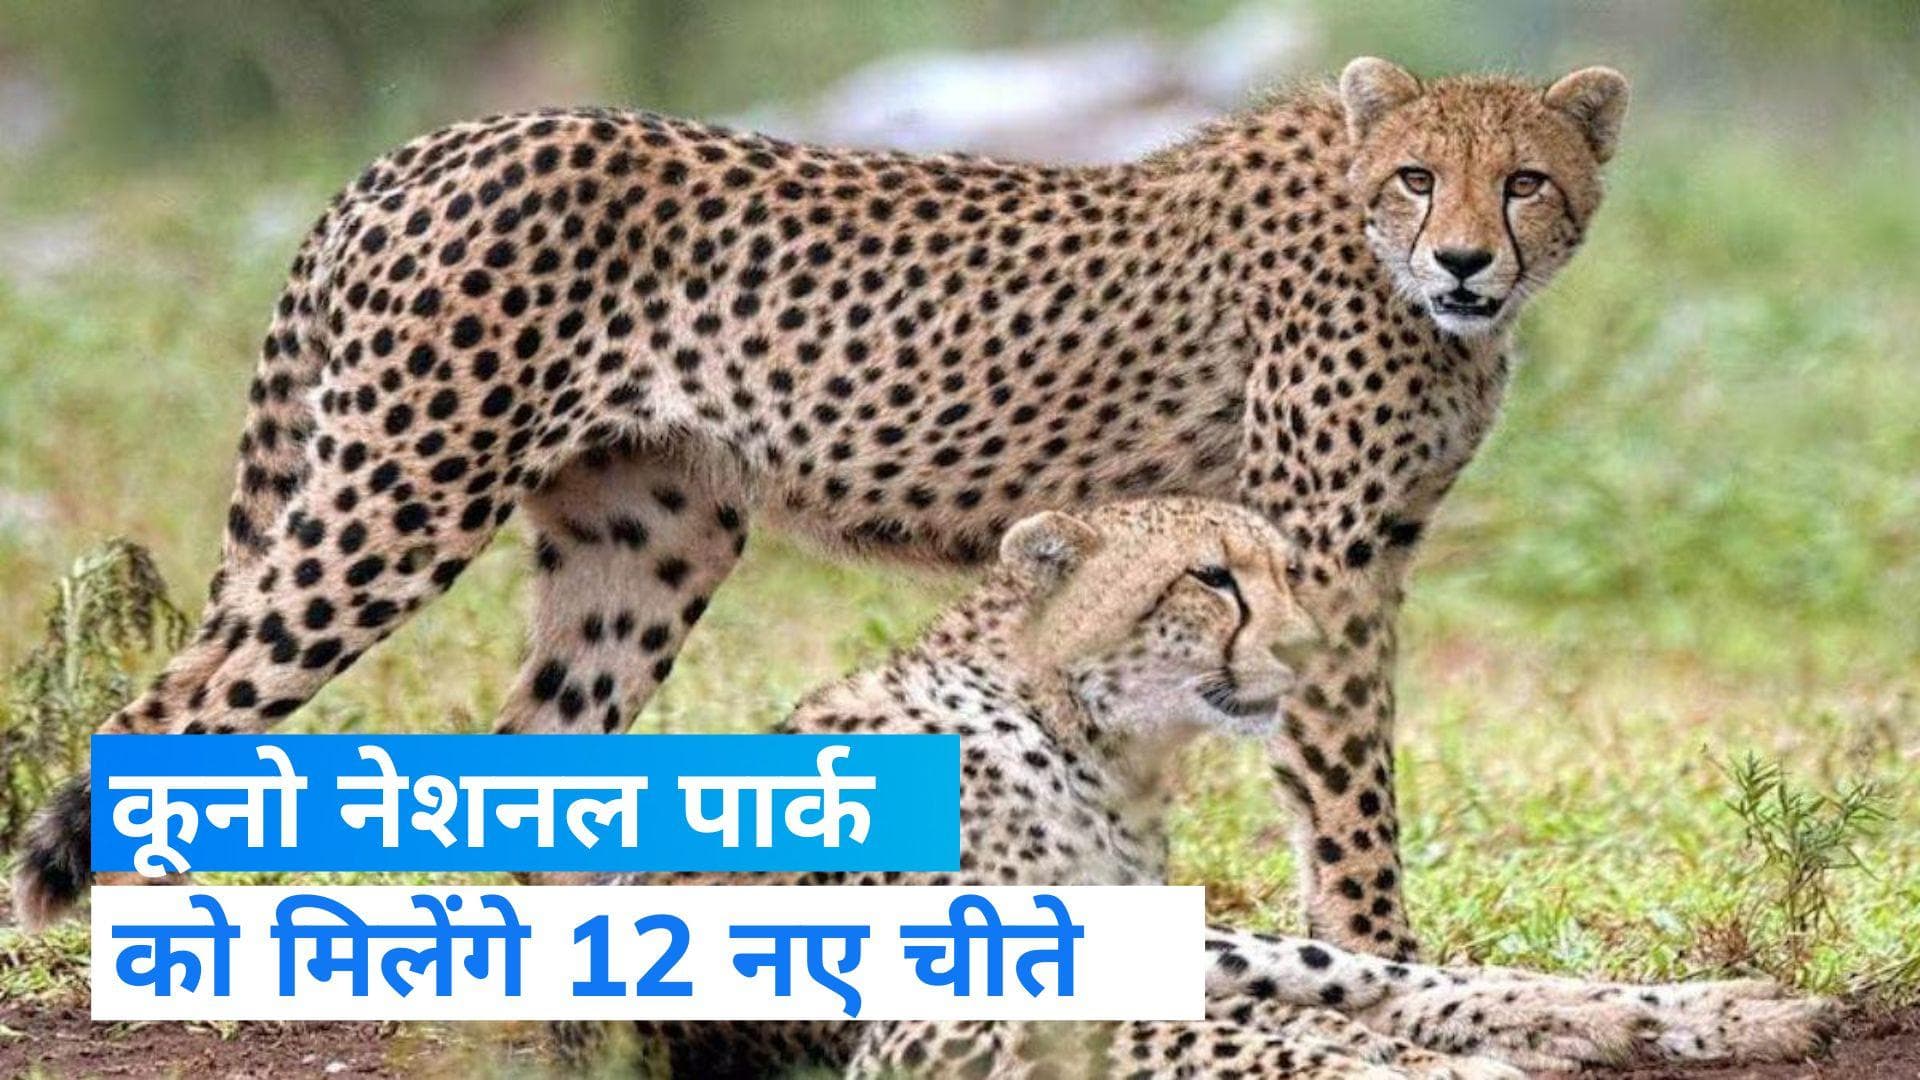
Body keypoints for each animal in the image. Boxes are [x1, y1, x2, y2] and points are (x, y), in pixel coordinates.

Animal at [17, 57, 1631, 962]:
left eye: (1526, 183)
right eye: (1418, 178)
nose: (1468, 262)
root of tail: (430, 143)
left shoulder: (1353, 560)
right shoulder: (1325, 561)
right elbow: (1349, 796)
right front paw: (1387, 957)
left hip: (650, 540)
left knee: (528, 755)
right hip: (401, 497)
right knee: (175, 708)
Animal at [571, 498, 1832, 1078]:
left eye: (1284, 570)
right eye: (1211, 579)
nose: (1312, 647)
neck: (1094, 745)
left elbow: (1291, 1016)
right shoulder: (936, 1022)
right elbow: (1234, 1038)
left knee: (1385, 975)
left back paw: (1714, 1011)